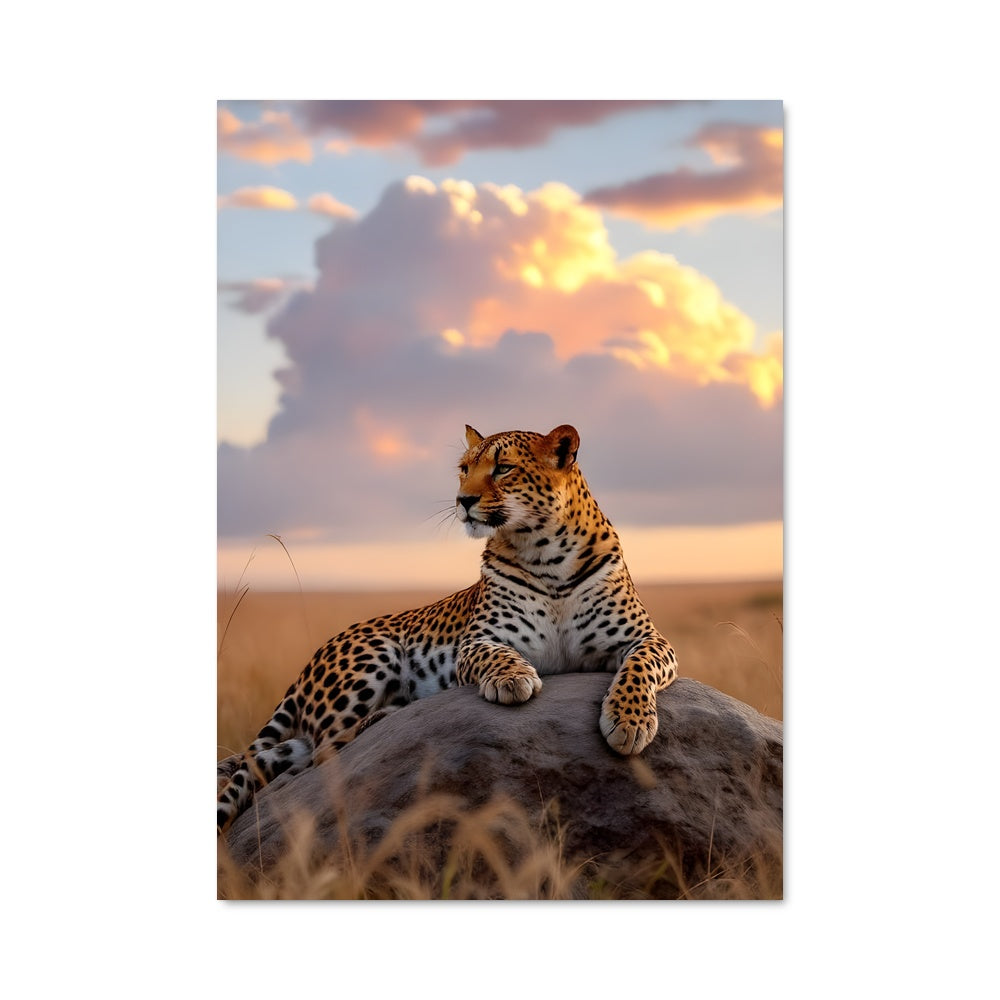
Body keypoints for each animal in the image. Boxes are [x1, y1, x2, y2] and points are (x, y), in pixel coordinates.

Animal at [217, 423, 678, 835]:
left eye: (503, 468)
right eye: (464, 468)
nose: (463, 500)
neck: (546, 554)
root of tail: (311, 659)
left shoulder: (646, 637)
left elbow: (639, 667)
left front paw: (630, 721)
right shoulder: (478, 640)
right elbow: (497, 655)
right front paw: (513, 679)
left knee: (292, 754)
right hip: (374, 654)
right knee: (325, 751)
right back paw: (390, 713)